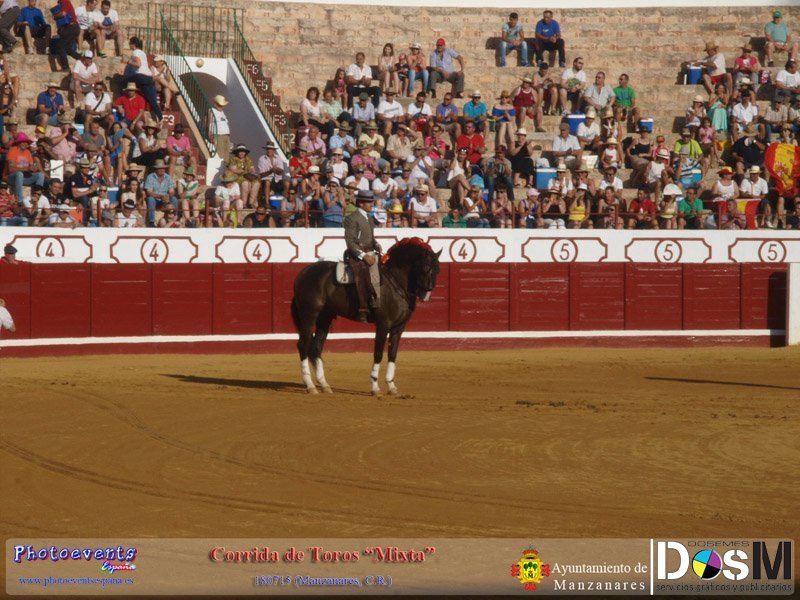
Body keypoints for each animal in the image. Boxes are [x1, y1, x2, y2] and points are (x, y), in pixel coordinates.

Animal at [291, 237, 442, 396]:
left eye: (438, 269)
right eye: (426, 267)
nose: (427, 293)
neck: (396, 282)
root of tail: (303, 273)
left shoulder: (399, 327)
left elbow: (393, 354)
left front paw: (392, 387)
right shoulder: (383, 324)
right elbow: (378, 353)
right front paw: (375, 387)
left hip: (324, 319)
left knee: (316, 347)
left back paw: (324, 385)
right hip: (309, 316)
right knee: (303, 344)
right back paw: (310, 386)